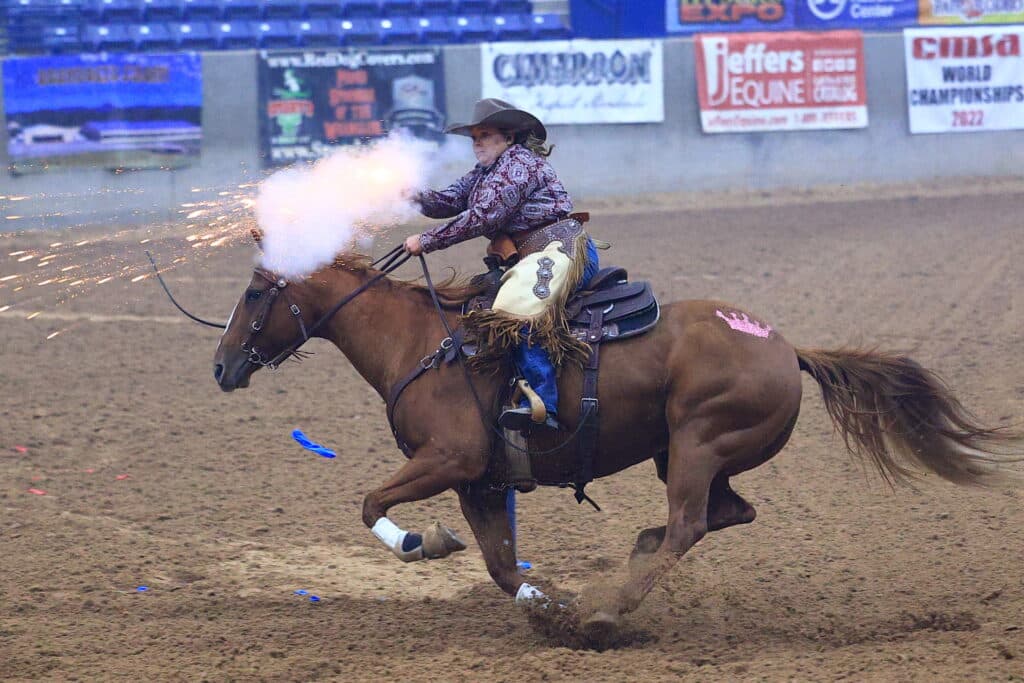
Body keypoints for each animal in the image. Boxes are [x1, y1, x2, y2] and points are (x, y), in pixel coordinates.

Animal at [211, 246, 1019, 647]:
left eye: (253, 294)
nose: (220, 367)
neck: (423, 343)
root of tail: (785, 347)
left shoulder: (451, 461)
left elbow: (372, 501)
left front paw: (423, 542)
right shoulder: (481, 481)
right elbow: (501, 567)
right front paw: (549, 606)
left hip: (698, 442)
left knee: (693, 523)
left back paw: (614, 605)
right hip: (685, 452)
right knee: (726, 515)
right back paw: (628, 566)